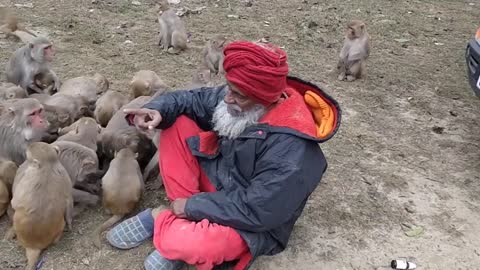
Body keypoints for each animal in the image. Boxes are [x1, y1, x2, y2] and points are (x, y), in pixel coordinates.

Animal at [9, 141, 73, 270]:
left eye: (27, 156)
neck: (47, 165)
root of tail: (33, 246)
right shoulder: (63, 172)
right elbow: (68, 199)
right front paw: (70, 224)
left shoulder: (28, 175)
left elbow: (15, 202)